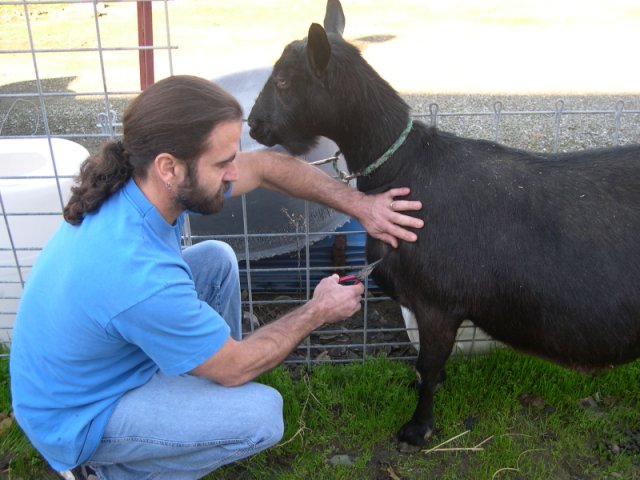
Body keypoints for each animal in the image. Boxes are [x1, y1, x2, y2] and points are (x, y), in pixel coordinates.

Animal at [248, 0, 640, 450]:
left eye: (282, 79)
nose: (253, 124)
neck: (404, 169)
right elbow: (429, 369)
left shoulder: (437, 304)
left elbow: (428, 368)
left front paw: (418, 429)